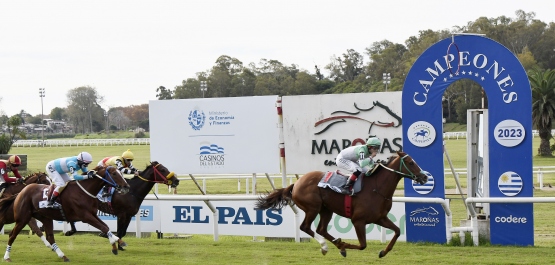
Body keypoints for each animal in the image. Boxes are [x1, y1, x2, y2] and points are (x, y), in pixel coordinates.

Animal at [1, 166, 131, 260]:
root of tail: (21, 192)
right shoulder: (85, 216)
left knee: (49, 237)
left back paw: (62, 255)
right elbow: (103, 228)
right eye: (114, 174)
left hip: (45, 218)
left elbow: (106, 227)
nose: (126, 187)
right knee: (12, 235)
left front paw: (116, 243)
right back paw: (7, 257)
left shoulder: (92, 215)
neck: (84, 191)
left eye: (120, 173)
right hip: (23, 218)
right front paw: (116, 242)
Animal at [254, 151, 428, 258]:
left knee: (321, 229)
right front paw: (343, 245)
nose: (425, 177)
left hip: (326, 210)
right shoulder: (358, 221)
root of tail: (296, 183)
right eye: (411, 162)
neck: (377, 188)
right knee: (306, 227)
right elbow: (363, 245)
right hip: (313, 208)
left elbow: (397, 231)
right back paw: (326, 246)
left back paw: (335, 244)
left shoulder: (380, 218)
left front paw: (383, 252)